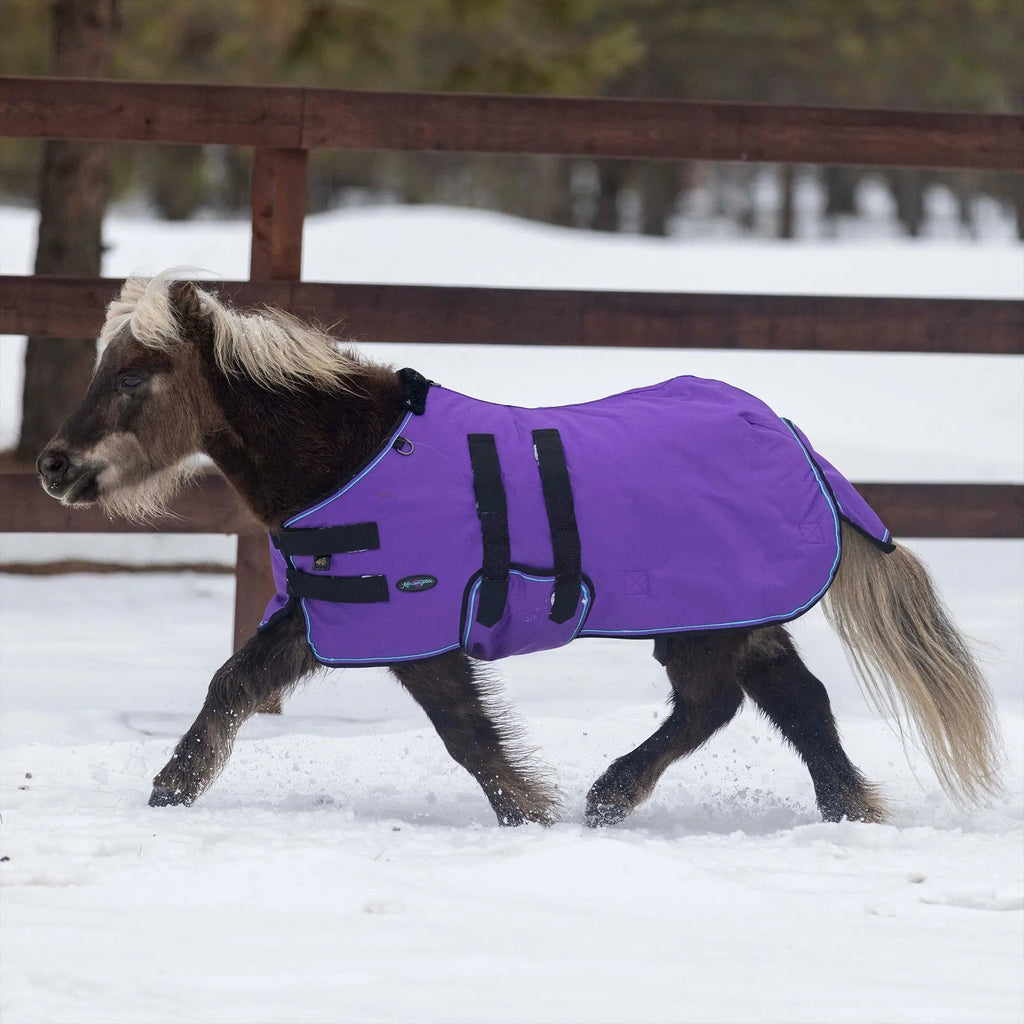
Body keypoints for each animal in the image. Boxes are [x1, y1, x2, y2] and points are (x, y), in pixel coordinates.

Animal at [36, 273, 1001, 826]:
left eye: (135, 374)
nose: (55, 467)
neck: (355, 457)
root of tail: (793, 438)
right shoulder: (327, 613)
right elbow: (231, 686)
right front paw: (170, 791)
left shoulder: (414, 629)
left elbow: (466, 733)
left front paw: (529, 815)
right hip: (736, 614)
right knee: (793, 702)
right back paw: (844, 810)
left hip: (703, 621)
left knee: (717, 703)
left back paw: (613, 795)